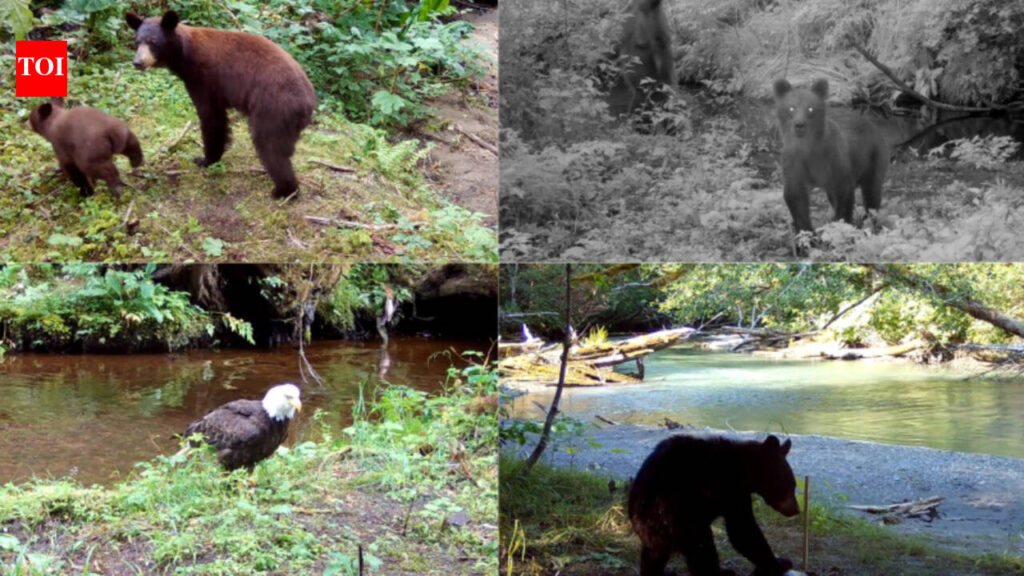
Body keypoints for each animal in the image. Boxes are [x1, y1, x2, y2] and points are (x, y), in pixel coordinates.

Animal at [126, 11, 316, 199]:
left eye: (153, 42)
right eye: (137, 42)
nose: (138, 62)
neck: (185, 53)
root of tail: (308, 102)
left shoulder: (203, 78)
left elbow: (210, 116)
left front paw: (206, 160)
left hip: (272, 108)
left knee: (270, 146)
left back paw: (284, 191)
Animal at [628, 434, 799, 576]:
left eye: (794, 485)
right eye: (788, 484)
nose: (796, 509)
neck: (743, 468)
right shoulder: (732, 491)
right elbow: (743, 529)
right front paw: (779, 563)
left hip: (654, 534)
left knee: (652, 557)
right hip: (683, 517)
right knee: (703, 550)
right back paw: (721, 572)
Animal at [773, 78, 889, 233]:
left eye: (810, 108)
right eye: (791, 108)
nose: (799, 125)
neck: (808, 149)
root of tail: (872, 125)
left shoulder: (836, 165)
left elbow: (844, 198)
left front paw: (839, 226)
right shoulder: (794, 164)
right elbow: (796, 198)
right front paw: (807, 233)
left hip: (874, 160)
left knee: (872, 196)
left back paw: (869, 223)